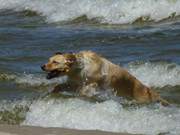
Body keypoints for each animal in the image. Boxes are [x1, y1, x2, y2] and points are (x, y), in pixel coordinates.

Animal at [40, 50, 169, 105]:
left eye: (55, 62)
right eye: (48, 60)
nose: (42, 66)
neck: (79, 68)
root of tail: (149, 90)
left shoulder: (92, 82)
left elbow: (83, 90)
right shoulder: (74, 82)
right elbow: (60, 86)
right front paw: (51, 92)